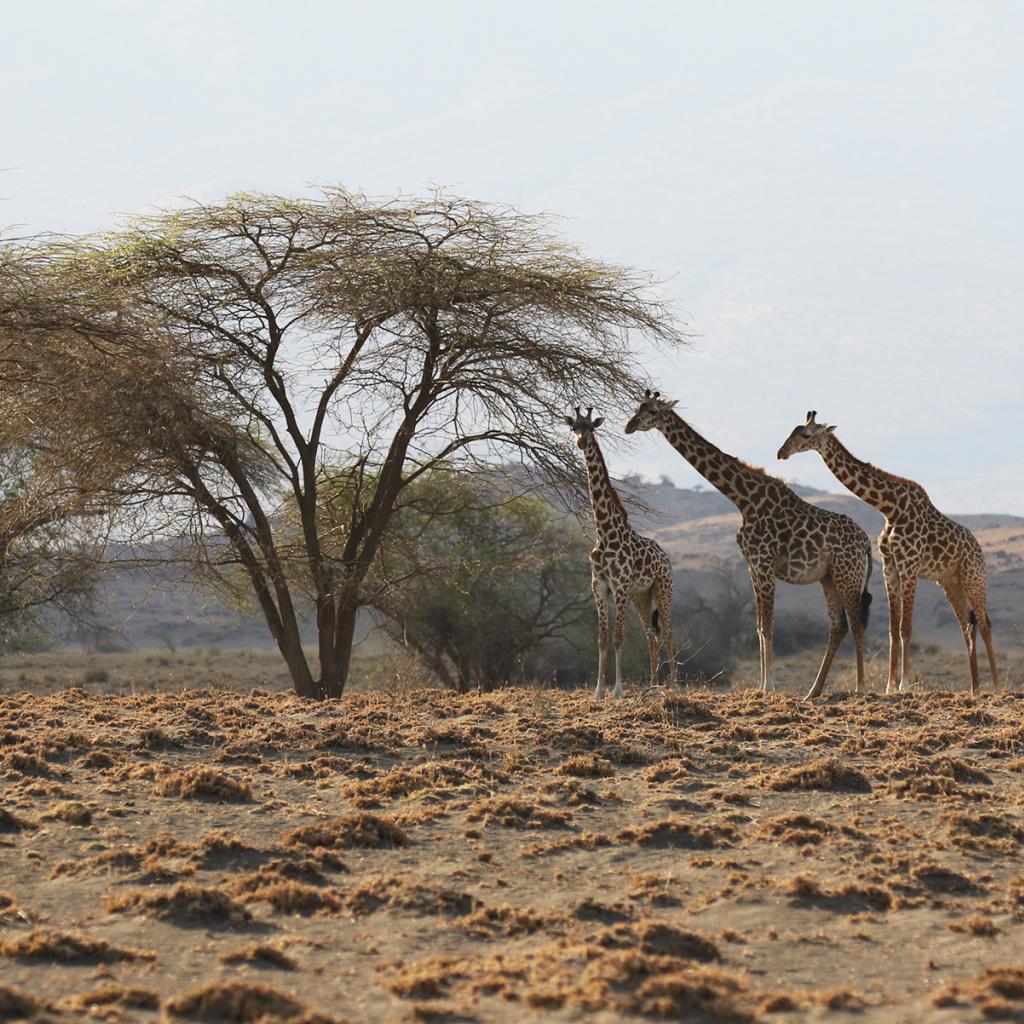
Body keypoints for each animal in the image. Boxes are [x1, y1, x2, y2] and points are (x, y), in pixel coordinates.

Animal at [565, 405, 675, 696]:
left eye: (591, 427)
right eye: (574, 427)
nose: (581, 442)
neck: (605, 533)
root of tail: (666, 558)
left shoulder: (620, 587)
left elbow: (618, 638)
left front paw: (618, 691)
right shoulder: (600, 587)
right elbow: (602, 639)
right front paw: (599, 691)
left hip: (663, 590)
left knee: (669, 633)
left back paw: (674, 686)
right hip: (642, 596)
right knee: (652, 635)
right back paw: (653, 686)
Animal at [622, 387, 872, 700]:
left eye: (653, 411)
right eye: (638, 407)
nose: (629, 426)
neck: (743, 499)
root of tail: (867, 544)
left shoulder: (765, 564)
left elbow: (768, 627)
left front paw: (769, 685)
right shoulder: (752, 566)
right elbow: (759, 628)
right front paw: (763, 685)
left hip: (848, 575)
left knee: (857, 624)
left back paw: (860, 687)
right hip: (828, 577)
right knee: (838, 626)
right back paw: (813, 691)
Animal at [778, 411, 995, 692]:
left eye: (805, 435)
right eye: (792, 431)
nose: (781, 452)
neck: (890, 508)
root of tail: (978, 548)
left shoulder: (909, 567)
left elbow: (906, 628)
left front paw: (904, 685)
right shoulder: (889, 568)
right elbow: (893, 629)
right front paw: (890, 686)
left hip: (973, 577)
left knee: (986, 623)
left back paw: (997, 686)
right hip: (950, 582)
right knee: (968, 626)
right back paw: (975, 688)